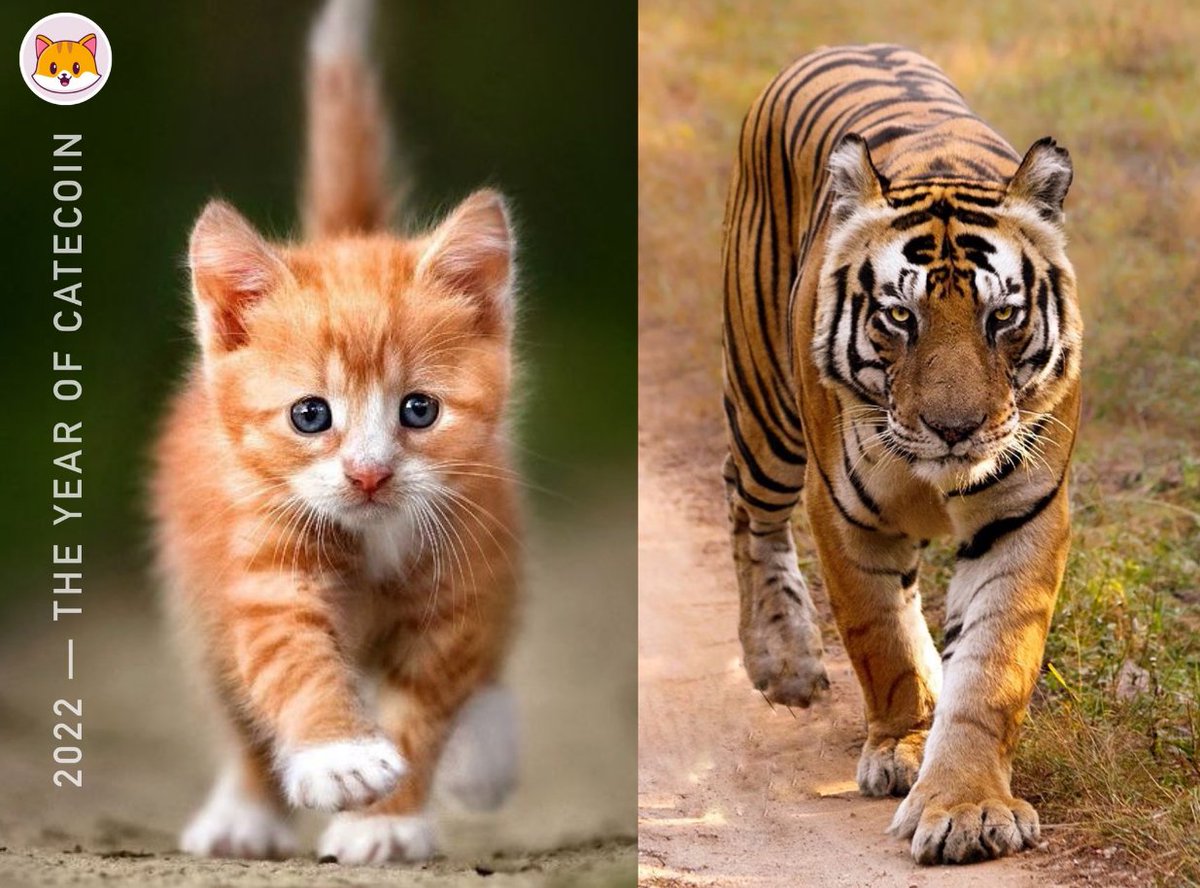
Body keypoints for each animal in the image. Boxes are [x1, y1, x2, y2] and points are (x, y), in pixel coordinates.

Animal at [720, 44, 1081, 865]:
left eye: (1001, 316)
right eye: (898, 316)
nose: (955, 428)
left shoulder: (1025, 516)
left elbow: (992, 669)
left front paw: (966, 806)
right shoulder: (843, 511)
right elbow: (878, 638)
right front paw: (905, 744)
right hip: (765, 416)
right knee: (746, 507)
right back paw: (783, 663)